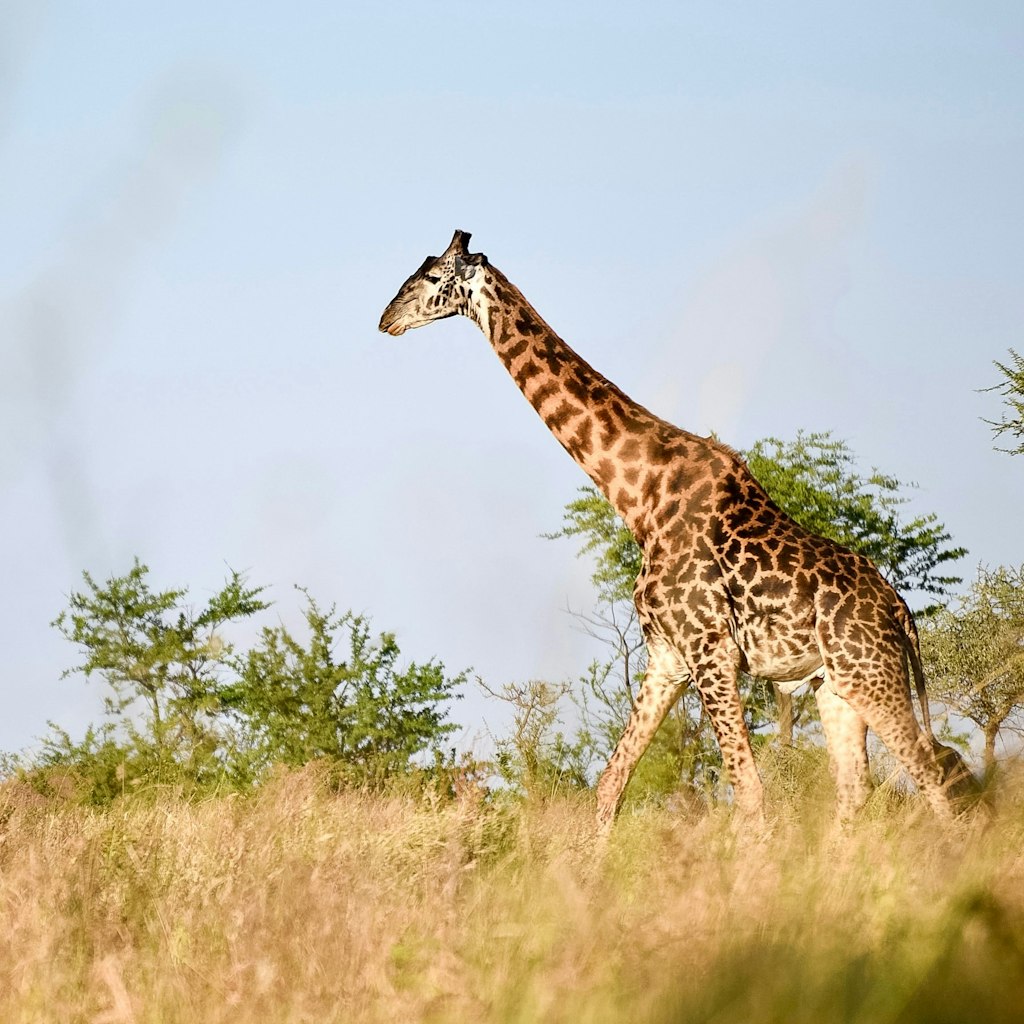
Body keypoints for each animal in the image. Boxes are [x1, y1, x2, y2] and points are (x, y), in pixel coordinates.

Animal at [378, 229, 970, 833]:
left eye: (431, 277)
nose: (386, 319)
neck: (638, 499)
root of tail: (900, 611)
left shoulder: (711, 650)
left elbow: (749, 792)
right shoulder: (667, 656)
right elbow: (611, 783)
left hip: (868, 671)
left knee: (932, 774)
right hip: (835, 685)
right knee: (857, 788)